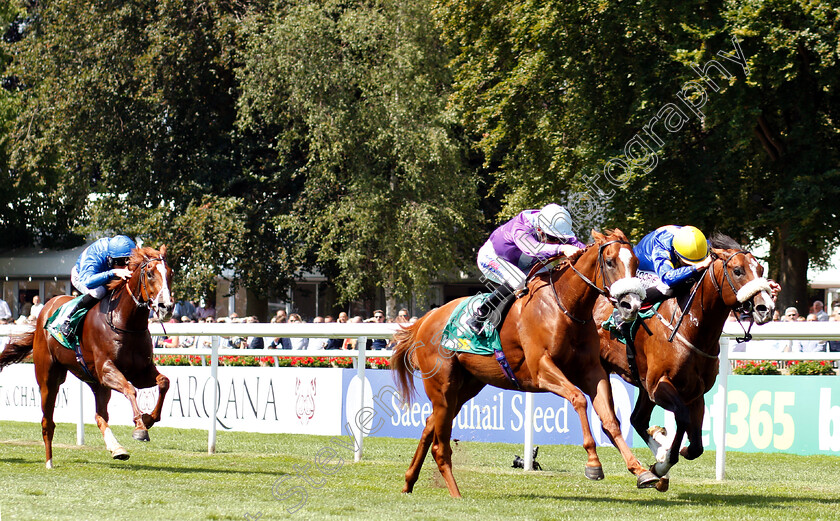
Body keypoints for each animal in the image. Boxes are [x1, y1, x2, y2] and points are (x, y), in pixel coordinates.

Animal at [0, 245, 173, 468]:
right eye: (150, 273)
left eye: (171, 273)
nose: (166, 307)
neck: (125, 322)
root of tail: (46, 309)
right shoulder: (107, 369)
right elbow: (130, 389)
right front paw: (140, 427)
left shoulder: (140, 372)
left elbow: (163, 382)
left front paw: (149, 418)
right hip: (49, 377)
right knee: (48, 421)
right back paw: (49, 462)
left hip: (96, 383)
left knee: (100, 415)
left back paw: (117, 448)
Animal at [394, 229, 656, 496]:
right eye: (610, 261)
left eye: (636, 263)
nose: (632, 304)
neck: (565, 307)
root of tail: (426, 319)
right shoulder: (541, 369)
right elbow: (578, 399)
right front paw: (593, 463)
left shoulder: (593, 371)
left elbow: (610, 419)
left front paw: (641, 471)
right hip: (442, 387)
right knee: (440, 446)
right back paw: (455, 493)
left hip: (466, 387)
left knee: (429, 425)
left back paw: (408, 482)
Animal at [592, 234, 772, 490]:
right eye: (738, 271)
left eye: (761, 269)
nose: (766, 308)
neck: (690, 327)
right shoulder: (660, 385)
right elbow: (683, 419)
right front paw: (663, 462)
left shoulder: (694, 393)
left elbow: (696, 445)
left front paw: (666, 455)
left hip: (643, 384)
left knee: (638, 419)